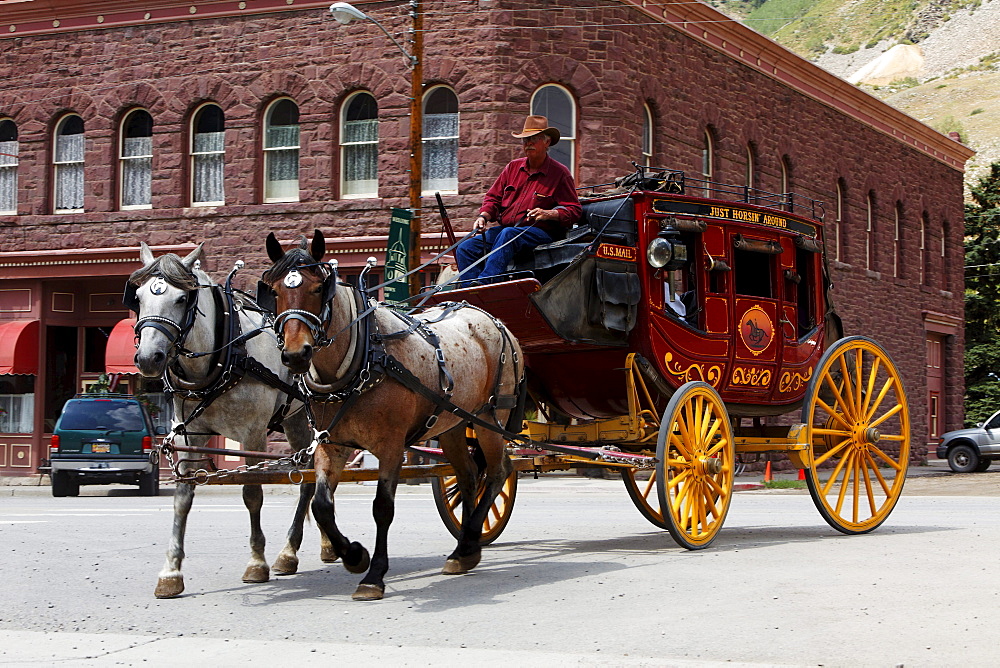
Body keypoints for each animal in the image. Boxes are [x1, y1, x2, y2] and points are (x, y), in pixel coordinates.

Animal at [128, 243, 332, 596]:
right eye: (138, 298)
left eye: (182, 299)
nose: (148, 358)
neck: (222, 358)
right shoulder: (189, 433)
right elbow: (182, 497)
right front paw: (171, 571)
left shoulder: (252, 434)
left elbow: (252, 494)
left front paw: (256, 562)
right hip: (294, 419)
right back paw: (319, 545)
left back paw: (289, 552)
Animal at [258, 231, 524, 600]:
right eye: (274, 290)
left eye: (318, 287)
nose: (297, 354)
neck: (364, 360)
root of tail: (496, 322)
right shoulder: (330, 444)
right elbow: (322, 506)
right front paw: (354, 555)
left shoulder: (391, 446)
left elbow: (382, 508)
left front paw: (373, 574)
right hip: (453, 423)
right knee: (470, 475)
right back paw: (465, 550)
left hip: (492, 417)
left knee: (498, 472)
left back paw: (469, 541)